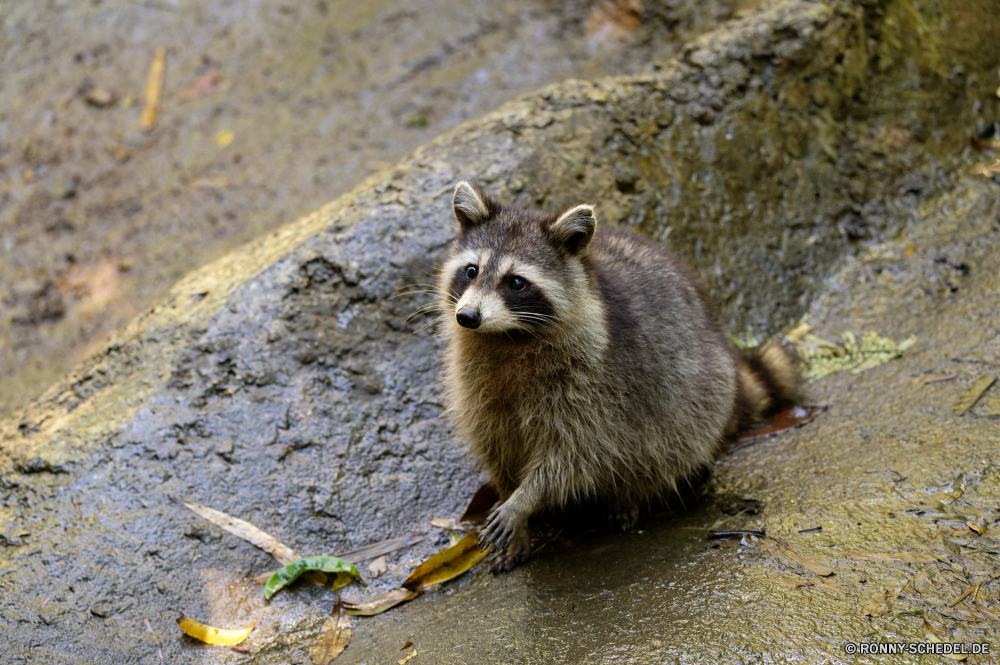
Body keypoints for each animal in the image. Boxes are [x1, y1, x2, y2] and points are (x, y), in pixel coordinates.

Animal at [438, 180, 796, 572]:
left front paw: (524, 502)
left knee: (667, 442)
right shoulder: (474, 384)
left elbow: (574, 454)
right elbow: (495, 446)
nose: (468, 317)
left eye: (516, 282)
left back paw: (629, 494)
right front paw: (514, 509)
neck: (507, 336)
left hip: (700, 391)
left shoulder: (593, 384)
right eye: (472, 271)